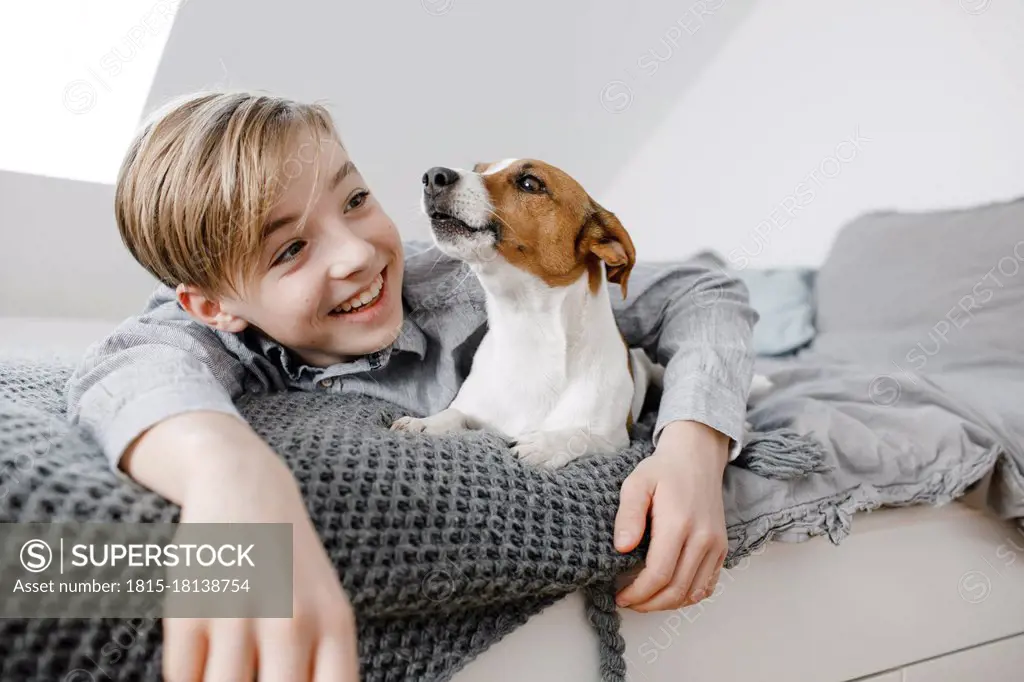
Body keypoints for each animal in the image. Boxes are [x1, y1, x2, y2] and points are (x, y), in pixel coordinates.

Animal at [387, 156, 659, 464]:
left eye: (529, 183)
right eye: (478, 169)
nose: (433, 176)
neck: (527, 329)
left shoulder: (615, 440)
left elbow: (579, 436)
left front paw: (544, 443)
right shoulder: (472, 410)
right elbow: (453, 414)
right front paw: (423, 423)